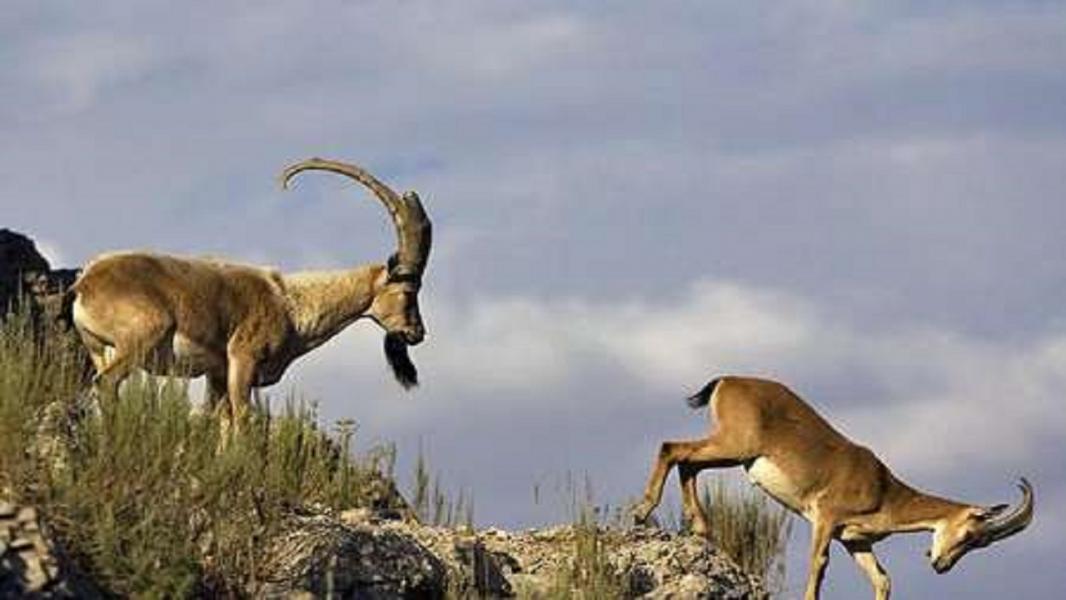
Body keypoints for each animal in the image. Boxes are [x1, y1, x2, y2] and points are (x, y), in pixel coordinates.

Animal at [69, 158, 432, 432]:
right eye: (408, 290)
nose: (417, 333)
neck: (290, 305)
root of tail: (86, 282)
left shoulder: (216, 374)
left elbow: (220, 422)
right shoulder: (243, 360)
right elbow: (243, 420)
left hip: (99, 348)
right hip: (141, 337)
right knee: (106, 383)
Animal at [631, 377, 1031, 596]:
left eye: (979, 542)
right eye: (970, 534)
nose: (941, 565)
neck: (883, 491)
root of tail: (726, 380)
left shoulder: (854, 541)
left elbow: (882, 580)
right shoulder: (824, 519)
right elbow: (818, 564)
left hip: (731, 453)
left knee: (687, 463)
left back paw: (698, 526)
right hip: (733, 446)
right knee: (673, 449)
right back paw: (641, 512)